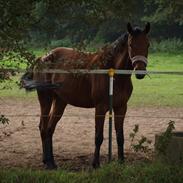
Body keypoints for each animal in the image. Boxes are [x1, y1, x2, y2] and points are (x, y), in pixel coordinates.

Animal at [21, 22, 150, 169]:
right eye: (131, 45)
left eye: (147, 44)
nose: (140, 72)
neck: (113, 73)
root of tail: (42, 58)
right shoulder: (100, 108)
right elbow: (98, 137)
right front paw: (96, 164)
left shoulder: (121, 108)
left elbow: (120, 136)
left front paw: (121, 162)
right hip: (45, 99)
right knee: (43, 128)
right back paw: (48, 163)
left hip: (60, 102)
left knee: (49, 129)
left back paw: (51, 162)